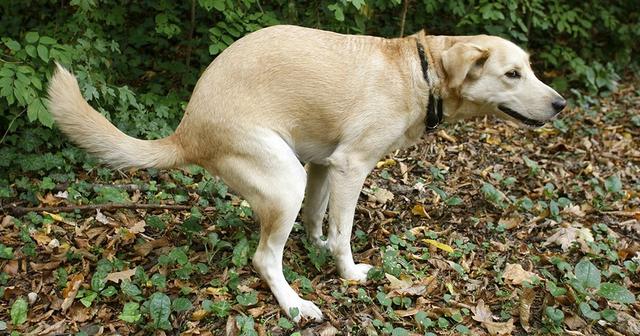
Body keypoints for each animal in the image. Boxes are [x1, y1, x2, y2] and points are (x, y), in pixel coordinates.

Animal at [46, 25, 564, 322]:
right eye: (513, 74)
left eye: (530, 68)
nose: (561, 104)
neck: (419, 71)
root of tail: (186, 131)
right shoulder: (352, 166)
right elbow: (344, 234)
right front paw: (347, 272)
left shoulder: (324, 165)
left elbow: (320, 220)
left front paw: (317, 246)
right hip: (285, 181)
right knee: (264, 259)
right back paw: (295, 305)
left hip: (296, 171)